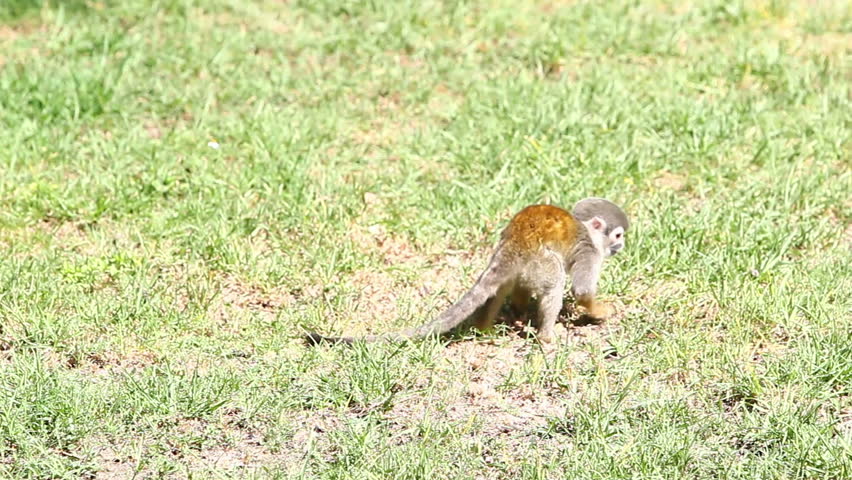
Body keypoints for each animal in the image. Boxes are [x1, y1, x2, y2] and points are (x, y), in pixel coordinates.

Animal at [306, 196, 624, 344]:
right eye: (618, 235)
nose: (621, 246)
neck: (588, 231)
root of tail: (516, 240)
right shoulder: (590, 252)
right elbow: (581, 289)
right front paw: (600, 312)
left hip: (518, 260)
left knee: (503, 285)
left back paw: (491, 324)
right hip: (543, 259)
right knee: (554, 281)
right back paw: (546, 337)